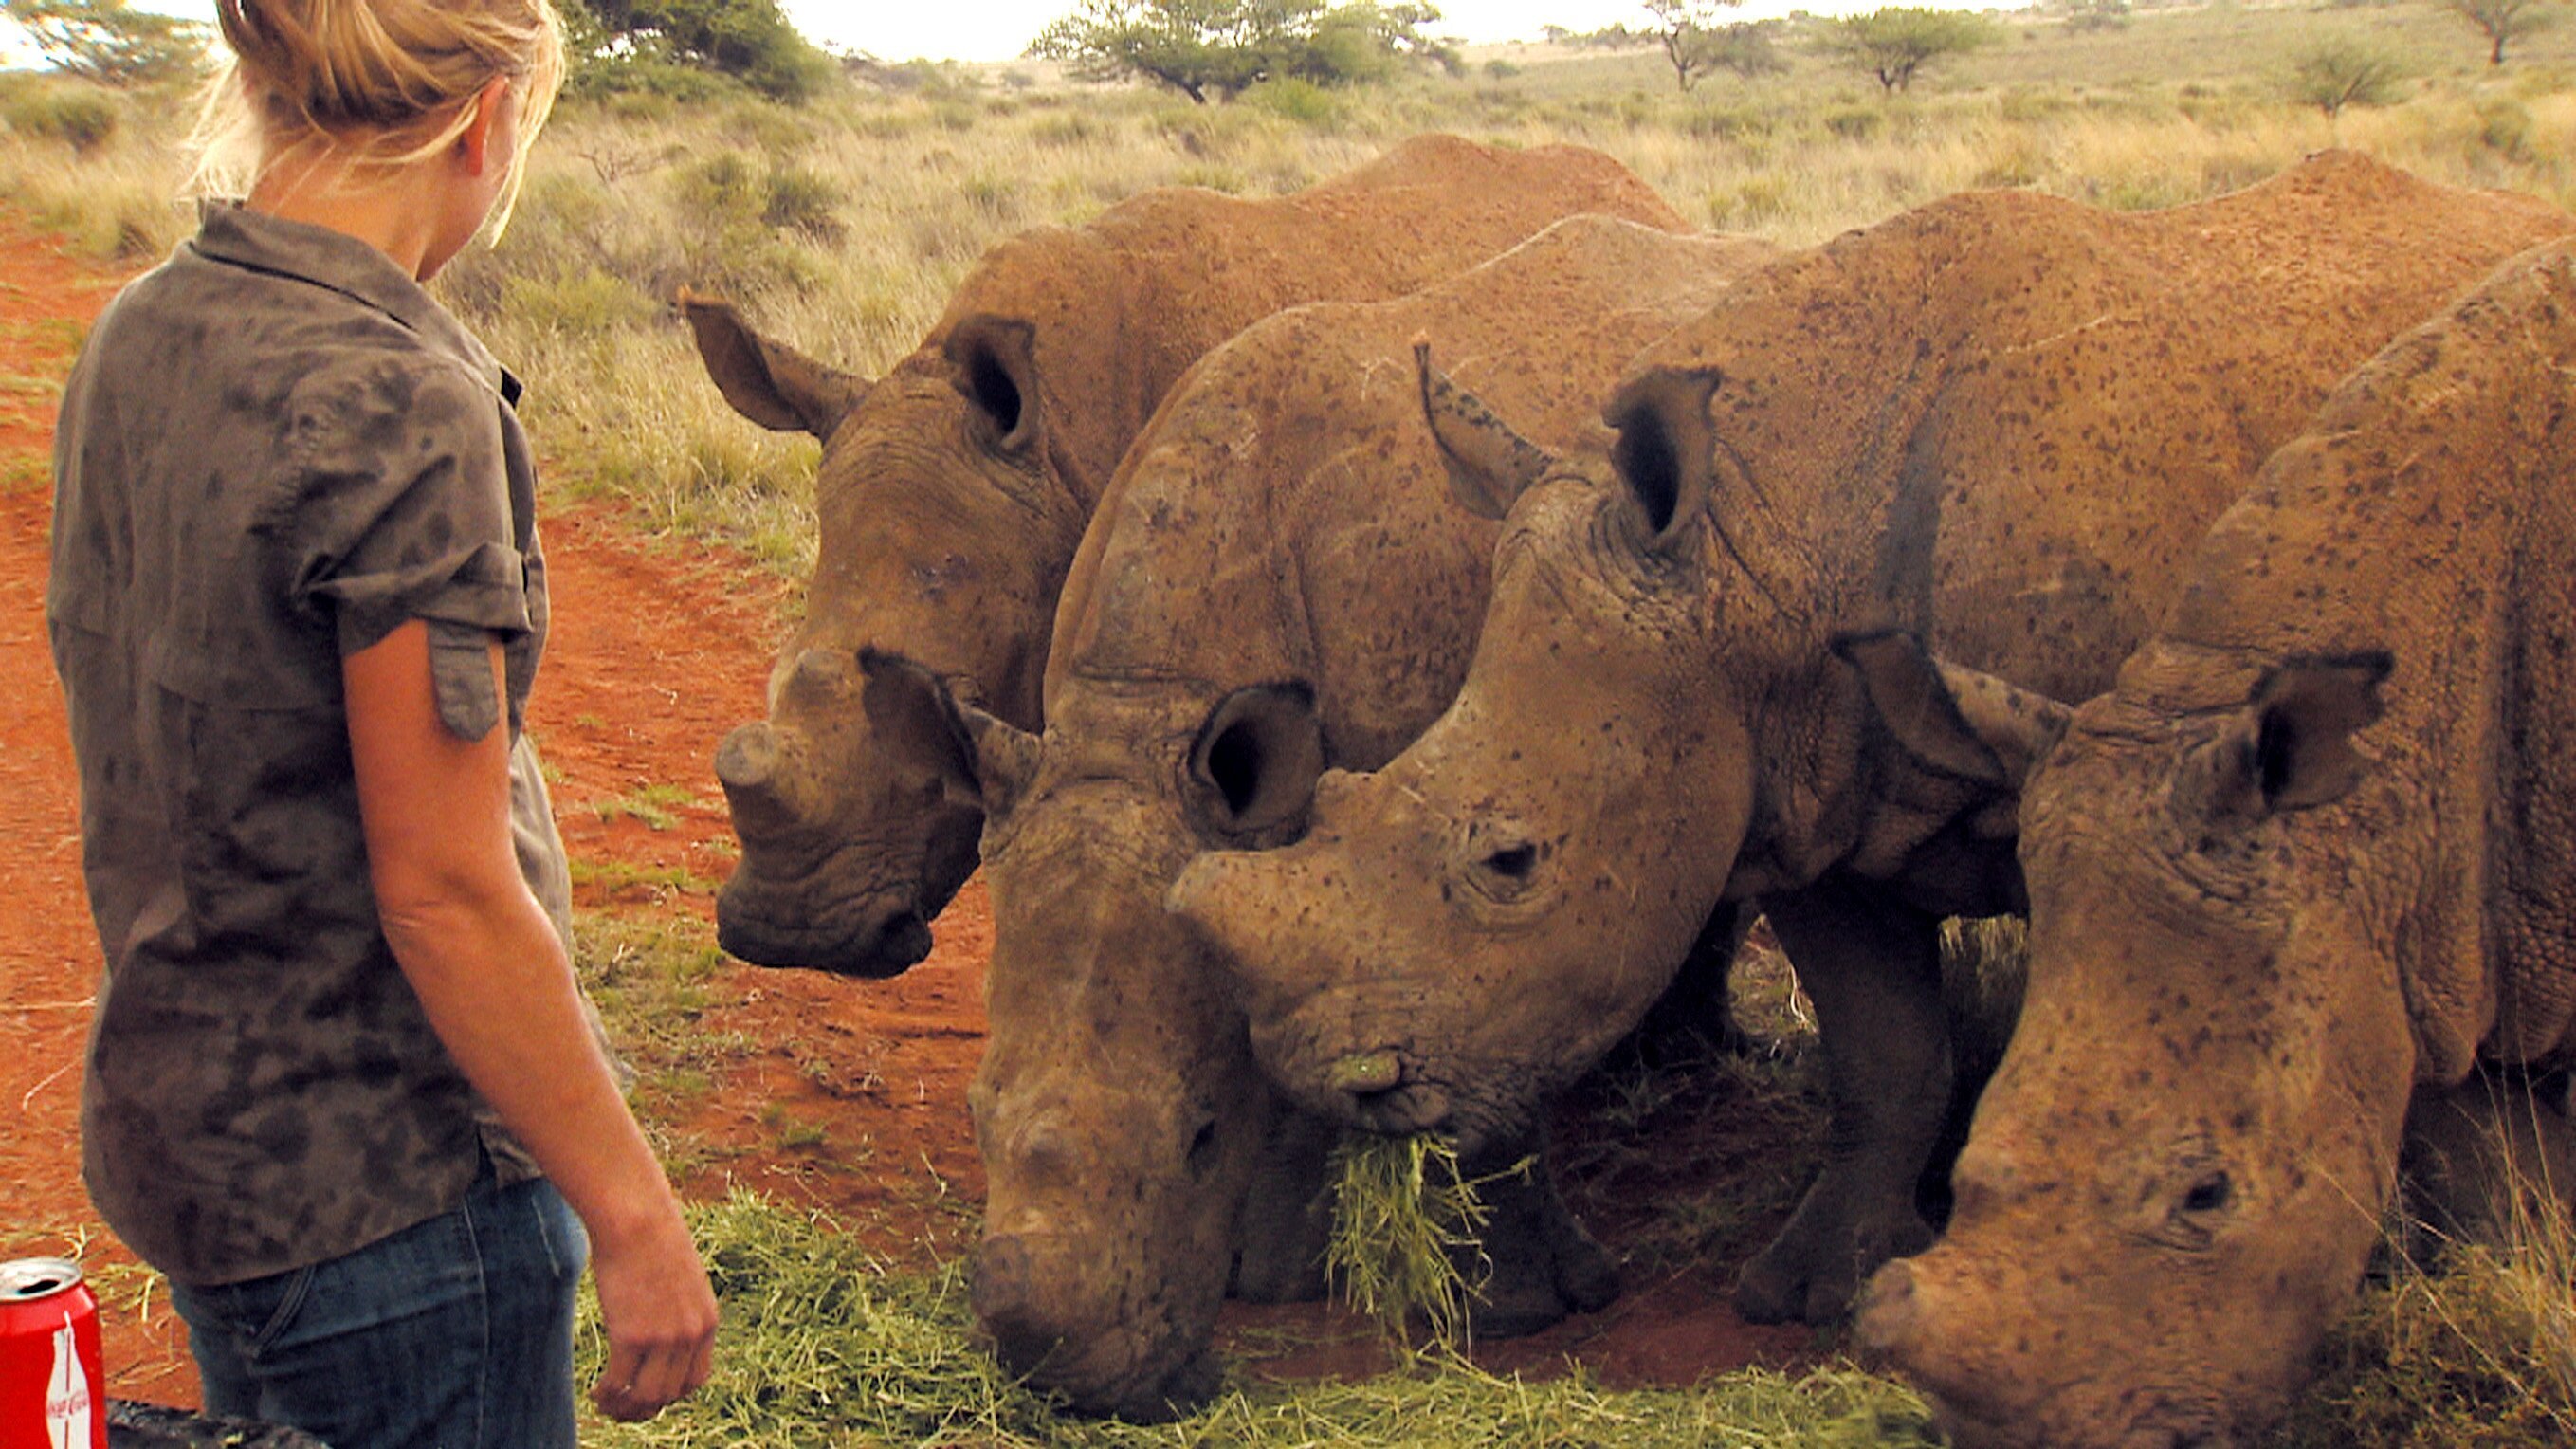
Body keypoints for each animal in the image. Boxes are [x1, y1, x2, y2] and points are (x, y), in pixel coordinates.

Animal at [855, 220, 1782, 1412]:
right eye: (973, 1120)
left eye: (1200, 1139)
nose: (1061, 1374)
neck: (1146, 716)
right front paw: (1274, 1269)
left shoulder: (1449, 853)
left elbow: (1475, 1031)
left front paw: (1508, 1310)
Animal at [1174, 149, 2576, 1320]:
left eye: (1513, 863)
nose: (1336, 1081)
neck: (1766, 545)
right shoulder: (1800, 779)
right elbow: (1883, 1052)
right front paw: (1816, 1292)